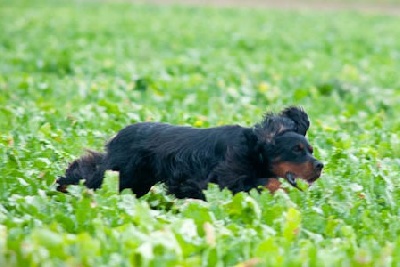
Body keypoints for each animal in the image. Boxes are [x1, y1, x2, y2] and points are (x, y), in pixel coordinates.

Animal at [56, 107, 324, 201]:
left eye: (310, 150)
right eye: (296, 150)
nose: (320, 165)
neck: (254, 150)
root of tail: (121, 133)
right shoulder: (222, 179)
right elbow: (269, 181)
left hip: (135, 180)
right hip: (121, 173)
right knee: (88, 174)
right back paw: (63, 187)